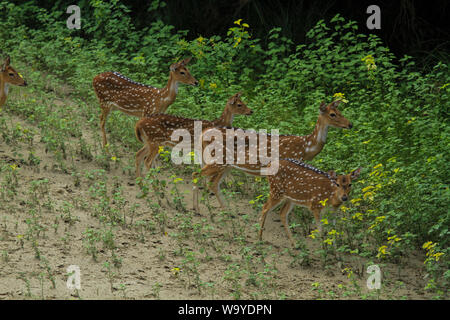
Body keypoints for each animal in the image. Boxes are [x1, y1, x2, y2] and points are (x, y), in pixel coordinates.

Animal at [192, 100, 352, 210]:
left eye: (341, 111)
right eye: (332, 114)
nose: (350, 124)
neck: (306, 147)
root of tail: (204, 133)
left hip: (226, 164)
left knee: (213, 183)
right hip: (218, 159)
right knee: (198, 175)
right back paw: (198, 209)